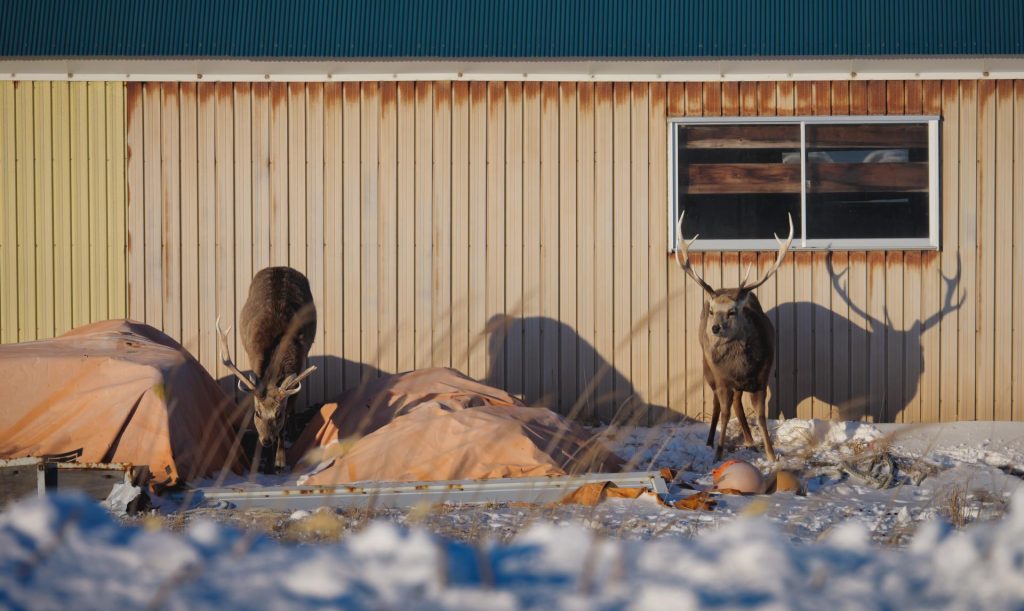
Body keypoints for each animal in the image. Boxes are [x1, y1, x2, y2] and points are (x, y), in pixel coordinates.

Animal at [214, 266, 313, 470]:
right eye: (257, 413)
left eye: (278, 414)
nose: (266, 440)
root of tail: (280, 267)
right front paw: (265, 462)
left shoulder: (299, 363)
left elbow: (289, 410)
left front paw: (280, 462)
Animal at [675, 211, 794, 460]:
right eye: (712, 310)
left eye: (733, 311)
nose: (715, 328)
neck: (741, 367)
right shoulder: (722, 379)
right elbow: (724, 413)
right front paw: (718, 454)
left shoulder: (762, 377)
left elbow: (760, 416)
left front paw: (771, 454)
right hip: (707, 367)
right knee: (716, 405)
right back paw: (710, 442)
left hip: (738, 383)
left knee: (738, 404)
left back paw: (749, 441)